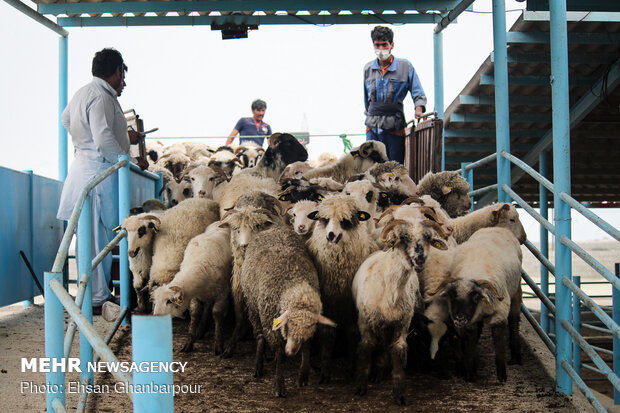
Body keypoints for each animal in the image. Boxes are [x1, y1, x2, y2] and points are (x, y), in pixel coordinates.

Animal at [153, 220, 232, 352]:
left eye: (169, 301)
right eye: (155, 301)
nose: (156, 318)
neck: (199, 264)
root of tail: (221, 221)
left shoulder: (223, 293)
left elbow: (217, 313)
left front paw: (218, 344)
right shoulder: (194, 295)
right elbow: (195, 315)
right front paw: (189, 343)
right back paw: (201, 329)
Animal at [240, 222, 334, 396]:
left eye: (309, 327)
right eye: (289, 325)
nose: (291, 351)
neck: (295, 288)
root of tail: (274, 228)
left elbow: (307, 347)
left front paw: (303, 375)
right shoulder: (272, 327)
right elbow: (279, 354)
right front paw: (279, 385)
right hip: (253, 307)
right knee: (260, 336)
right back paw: (258, 365)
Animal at [306, 195, 378, 382]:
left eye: (345, 221)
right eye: (324, 219)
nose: (330, 235)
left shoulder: (352, 310)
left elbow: (352, 336)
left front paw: (353, 369)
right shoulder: (327, 305)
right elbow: (327, 337)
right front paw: (325, 372)